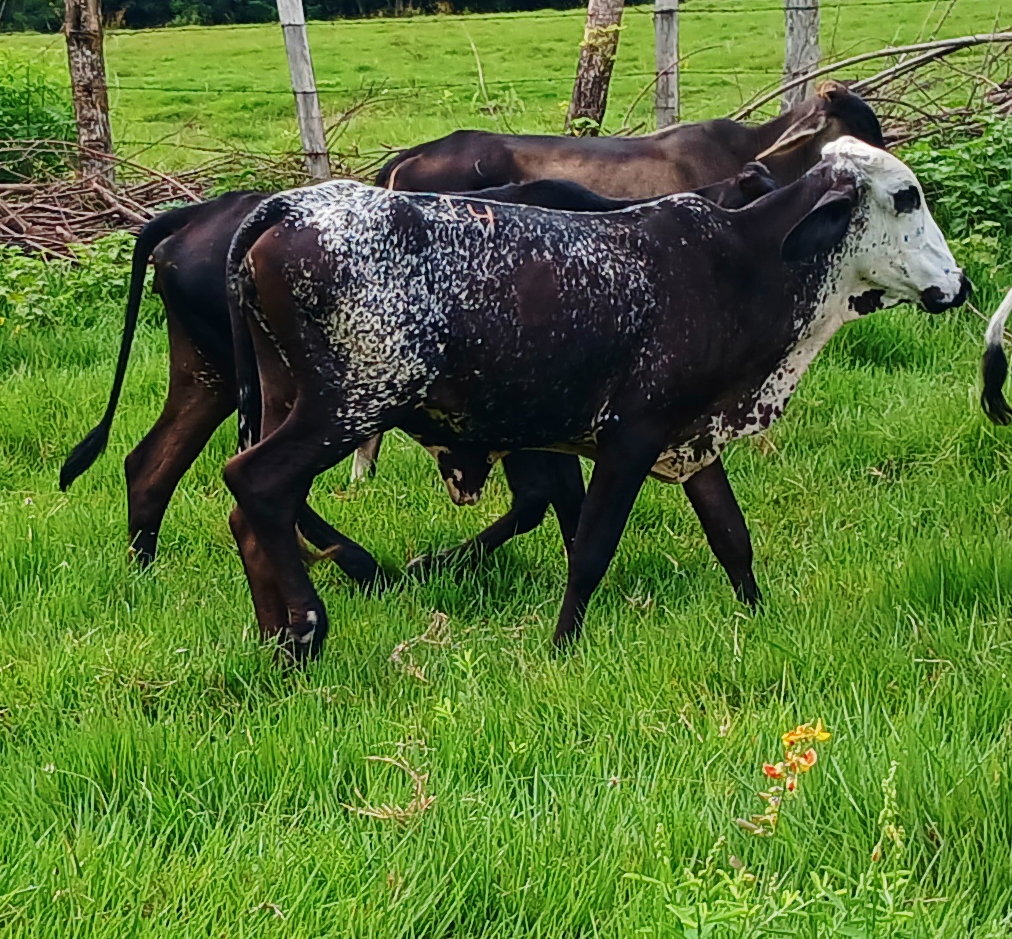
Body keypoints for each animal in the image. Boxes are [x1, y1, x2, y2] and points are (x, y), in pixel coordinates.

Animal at [58, 169, 773, 580]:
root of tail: (197, 215)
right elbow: (551, 503)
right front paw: (432, 566)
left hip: (212, 380)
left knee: (153, 465)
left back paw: (144, 571)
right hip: (313, 397)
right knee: (255, 479)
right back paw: (360, 565)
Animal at [222, 137, 969, 662]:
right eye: (906, 197)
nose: (958, 285)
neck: (742, 264)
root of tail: (286, 205)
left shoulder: (692, 438)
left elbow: (732, 539)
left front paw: (758, 618)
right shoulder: (631, 435)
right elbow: (589, 548)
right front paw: (561, 645)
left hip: (292, 397)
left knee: (250, 510)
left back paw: (275, 639)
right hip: (353, 402)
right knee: (256, 482)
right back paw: (308, 629)